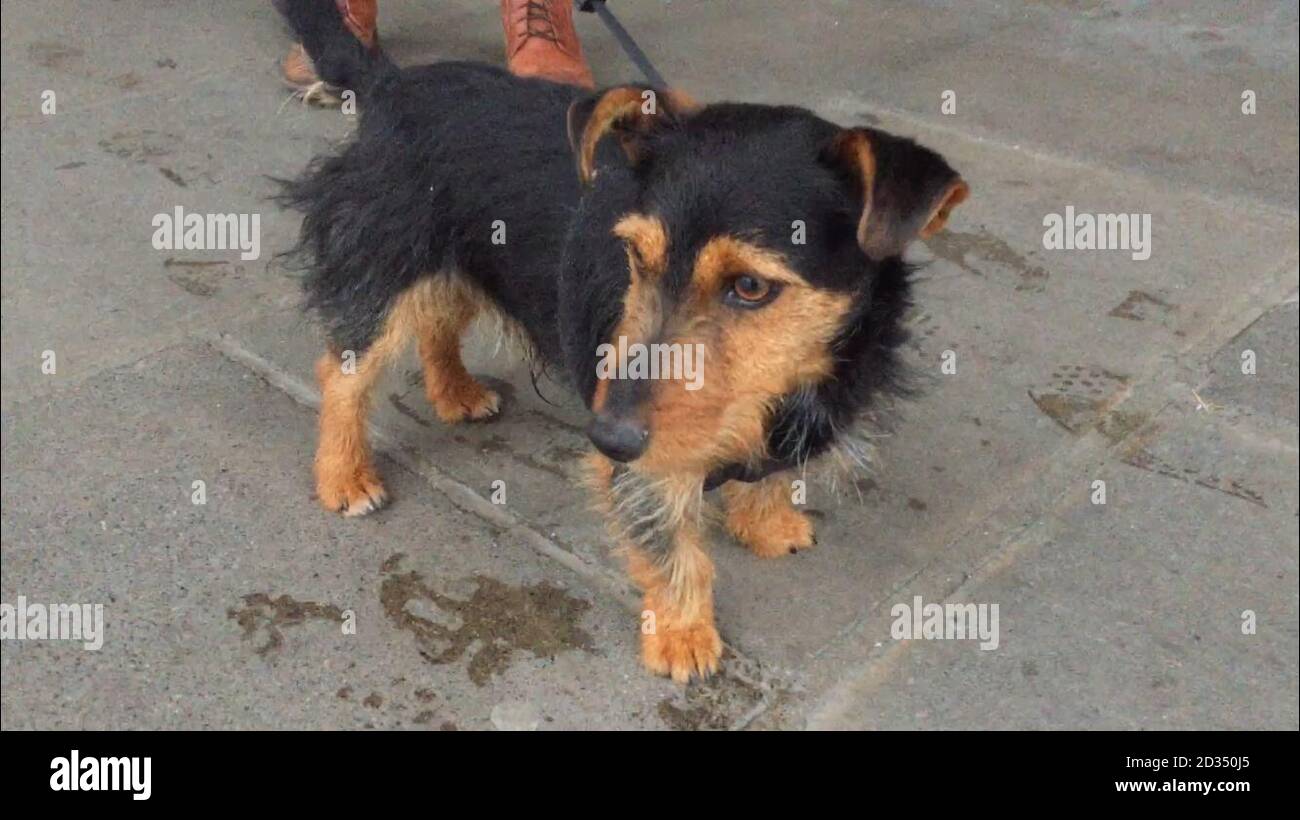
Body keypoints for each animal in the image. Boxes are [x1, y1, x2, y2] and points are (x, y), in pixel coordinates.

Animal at [274, 0, 967, 680]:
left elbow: (768, 473)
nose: (606, 436)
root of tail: (392, 85)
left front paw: (767, 522)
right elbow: (669, 541)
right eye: (635, 254)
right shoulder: (650, 463)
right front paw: (683, 633)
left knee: (438, 319)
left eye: (749, 285)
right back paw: (344, 475)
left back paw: (455, 392)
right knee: (344, 371)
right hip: (385, 259)